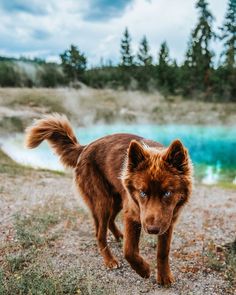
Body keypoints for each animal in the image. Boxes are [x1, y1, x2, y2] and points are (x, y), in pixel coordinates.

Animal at [25, 114, 192, 288]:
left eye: (167, 193)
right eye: (143, 192)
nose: (152, 230)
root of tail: (85, 148)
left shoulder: (168, 220)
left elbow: (163, 251)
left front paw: (164, 276)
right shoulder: (133, 214)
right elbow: (129, 251)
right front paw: (144, 270)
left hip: (118, 199)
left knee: (111, 220)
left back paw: (119, 236)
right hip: (102, 202)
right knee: (100, 233)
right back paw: (109, 260)